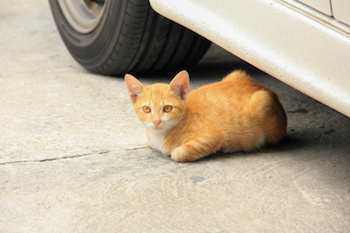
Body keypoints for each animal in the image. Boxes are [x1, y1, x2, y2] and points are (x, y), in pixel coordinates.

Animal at [125, 70, 288, 162]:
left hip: (262, 99)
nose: (156, 121)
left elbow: (177, 154)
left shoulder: (213, 135)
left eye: (167, 108)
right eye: (146, 109)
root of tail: (272, 93)